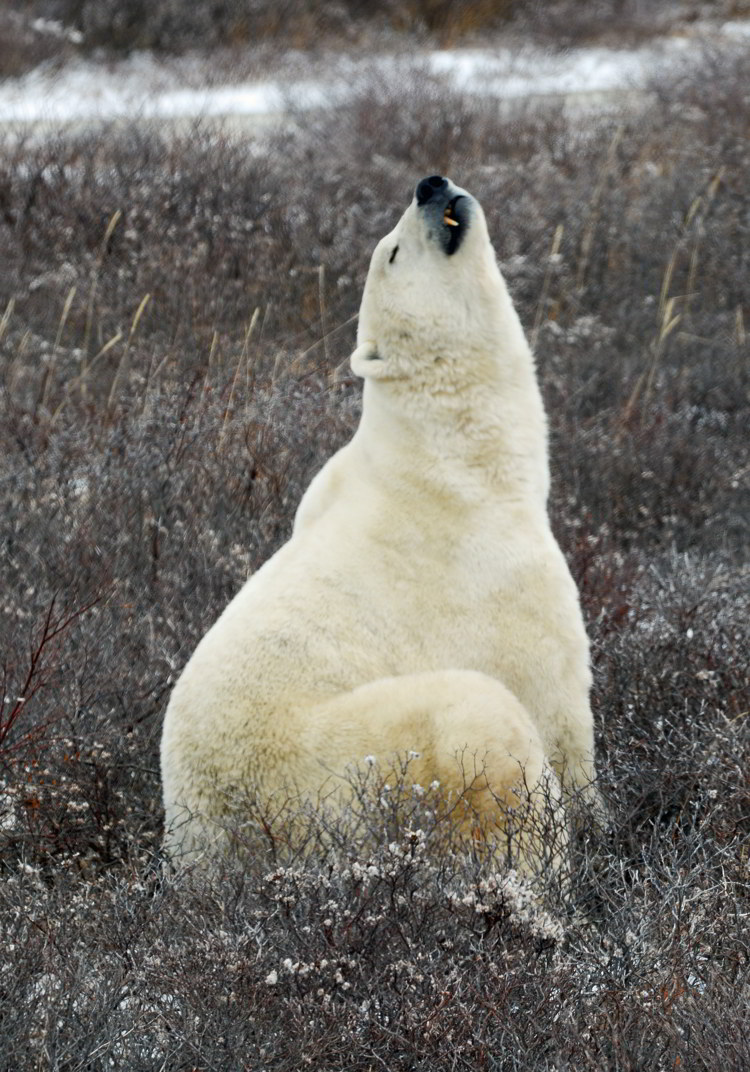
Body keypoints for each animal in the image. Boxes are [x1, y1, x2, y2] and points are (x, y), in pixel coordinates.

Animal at [160, 171, 595, 866]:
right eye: (392, 252)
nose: (430, 183)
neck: (461, 456)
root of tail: (209, 839)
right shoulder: (502, 573)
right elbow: (560, 710)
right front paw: (603, 826)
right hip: (348, 760)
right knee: (478, 720)